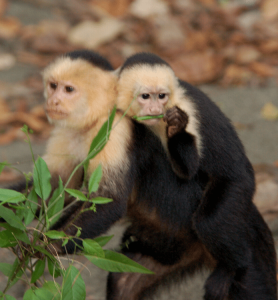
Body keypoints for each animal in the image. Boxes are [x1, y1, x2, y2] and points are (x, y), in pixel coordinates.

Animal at [114, 52, 276, 300]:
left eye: (161, 96)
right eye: (145, 96)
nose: (155, 108)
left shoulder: (188, 107)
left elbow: (193, 169)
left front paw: (176, 130)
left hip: (237, 196)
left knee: (213, 214)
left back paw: (232, 266)